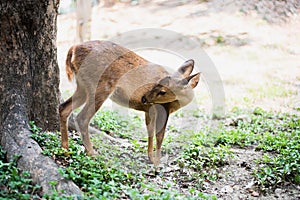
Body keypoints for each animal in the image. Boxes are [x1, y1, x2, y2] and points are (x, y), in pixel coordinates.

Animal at [59, 40, 200, 169]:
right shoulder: (162, 109)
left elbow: (150, 131)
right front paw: (157, 163)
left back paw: (65, 150)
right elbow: (160, 135)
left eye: (162, 90)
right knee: (82, 118)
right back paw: (92, 154)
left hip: (82, 86)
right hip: (100, 86)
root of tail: (74, 48)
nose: (144, 98)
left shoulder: (149, 110)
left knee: (63, 108)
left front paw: (150, 158)